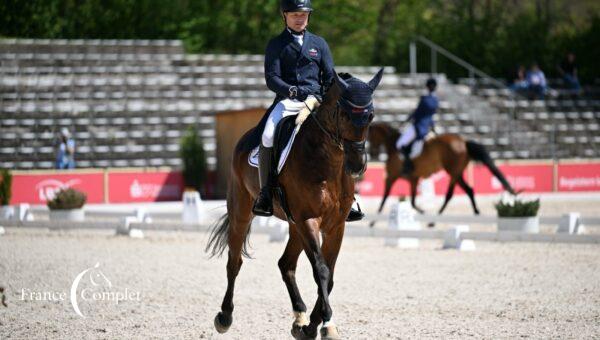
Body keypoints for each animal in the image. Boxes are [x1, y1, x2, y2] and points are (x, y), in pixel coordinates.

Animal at [206, 69, 384, 340]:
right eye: (344, 114)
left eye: (371, 115)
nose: (357, 166)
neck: (328, 163)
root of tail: (244, 139)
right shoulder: (308, 220)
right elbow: (321, 271)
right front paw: (327, 324)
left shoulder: (335, 225)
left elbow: (330, 276)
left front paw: (311, 326)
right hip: (242, 212)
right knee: (234, 262)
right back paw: (224, 316)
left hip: (293, 224)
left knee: (286, 264)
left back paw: (299, 317)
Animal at [366, 121, 516, 227]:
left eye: (370, 137)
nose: (373, 154)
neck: (393, 147)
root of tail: (463, 142)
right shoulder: (413, 179)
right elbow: (412, 202)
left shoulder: (391, 177)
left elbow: (385, 199)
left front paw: (372, 222)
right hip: (457, 172)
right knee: (469, 190)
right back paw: (476, 214)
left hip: (452, 171)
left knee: (450, 195)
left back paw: (434, 221)